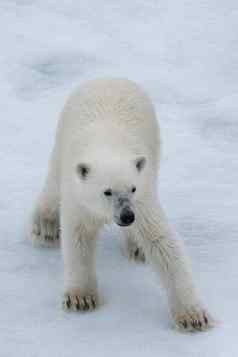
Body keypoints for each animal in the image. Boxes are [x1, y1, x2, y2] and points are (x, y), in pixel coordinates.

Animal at [30, 78, 214, 330]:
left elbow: (161, 241)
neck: (107, 146)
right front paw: (81, 298)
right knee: (53, 178)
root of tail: (109, 78)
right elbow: (78, 239)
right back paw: (45, 226)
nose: (127, 216)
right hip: (62, 134)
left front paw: (193, 316)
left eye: (132, 188)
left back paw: (136, 247)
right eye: (107, 192)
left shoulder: (144, 198)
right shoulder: (79, 198)